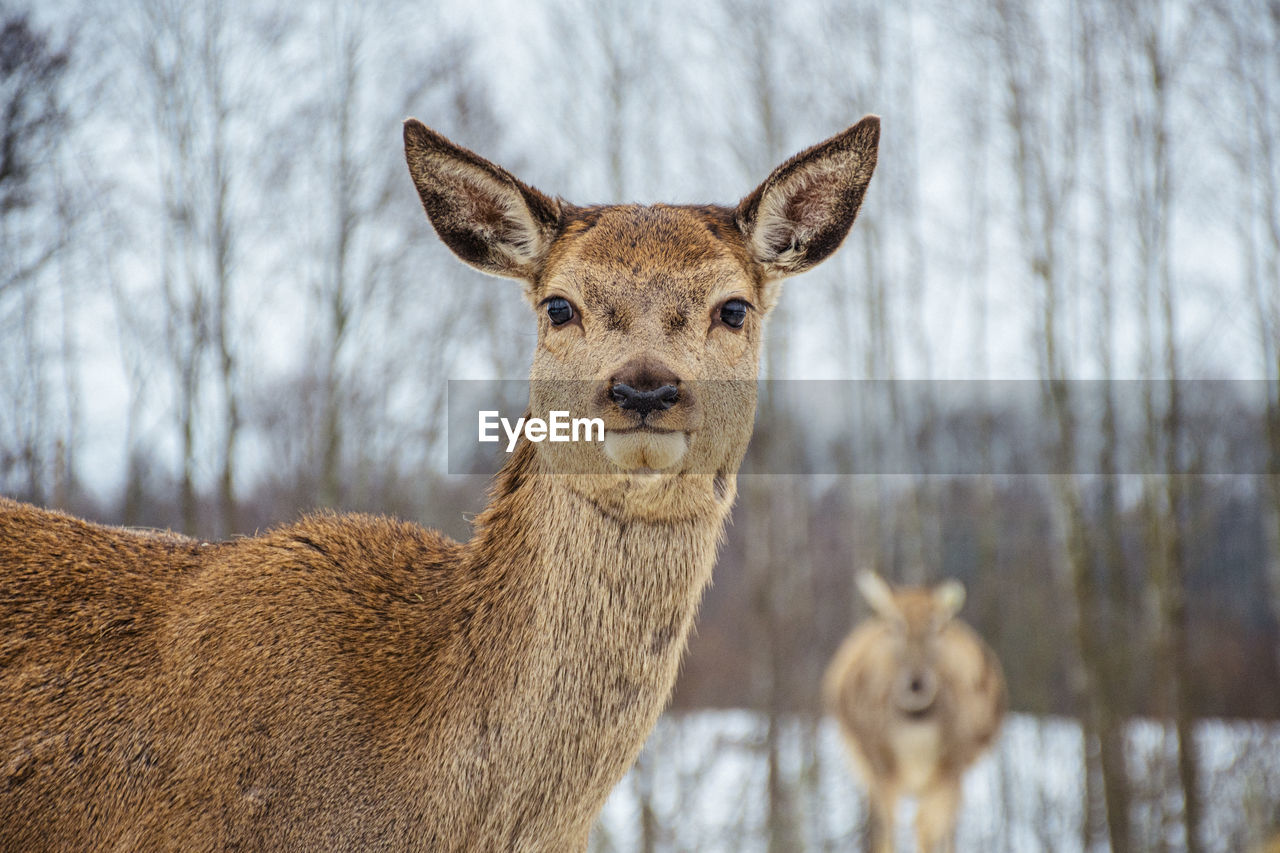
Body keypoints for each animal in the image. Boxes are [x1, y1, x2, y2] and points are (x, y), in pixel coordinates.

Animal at [824, 568, 1003, 850]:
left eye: (936, 626)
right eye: (896, 624)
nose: (916, 683)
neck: (916, 729)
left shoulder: (951, 764)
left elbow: (931, 830)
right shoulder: (879, 764)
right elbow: (885, 831)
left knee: (937, 827)